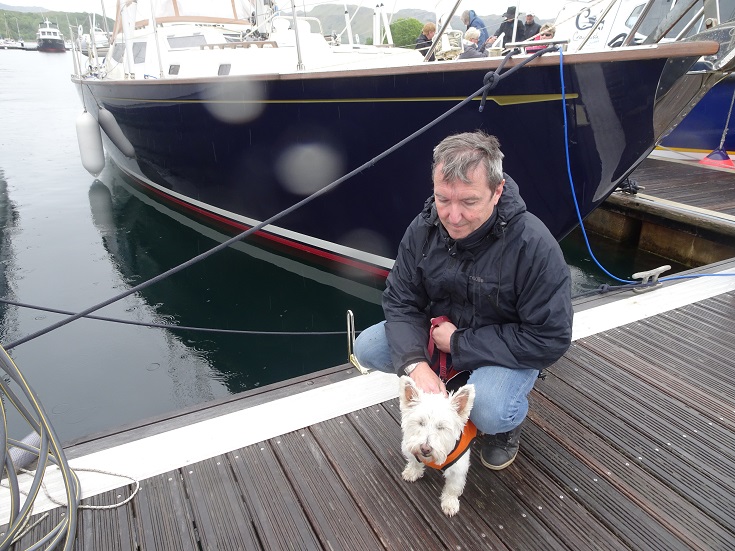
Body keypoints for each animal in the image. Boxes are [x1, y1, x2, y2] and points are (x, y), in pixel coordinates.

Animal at [400, 376, 474, 516]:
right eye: (421, 423)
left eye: (441, 427)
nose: (425, 448)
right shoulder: (410, 446)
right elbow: (414, 462)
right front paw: (412, 472)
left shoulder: (458, 470)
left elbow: (453, 487)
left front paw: (450, 503)